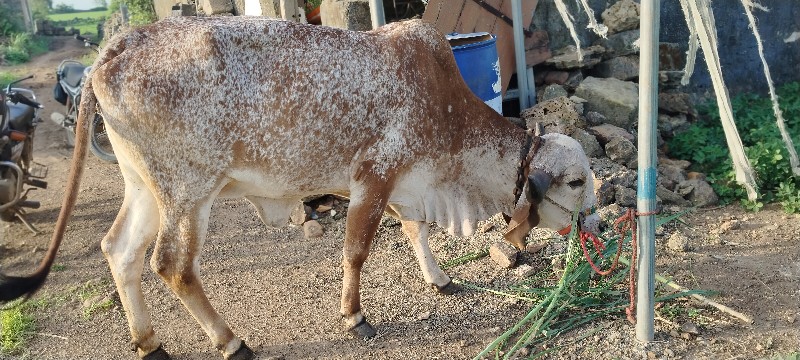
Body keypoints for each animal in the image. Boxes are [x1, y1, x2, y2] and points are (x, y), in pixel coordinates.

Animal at [0, 16, 600, 360]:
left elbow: (416, 230)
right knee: (171, 264)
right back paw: (230, 341)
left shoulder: (406, 181)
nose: (593, 226)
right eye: (575, 181)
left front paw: (438, 278)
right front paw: (354, 315)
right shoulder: (372, 177)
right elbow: (357, 250)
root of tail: (116, 46)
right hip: (188, 192)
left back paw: (149, 343)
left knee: (119, 250)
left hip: (145, 187)